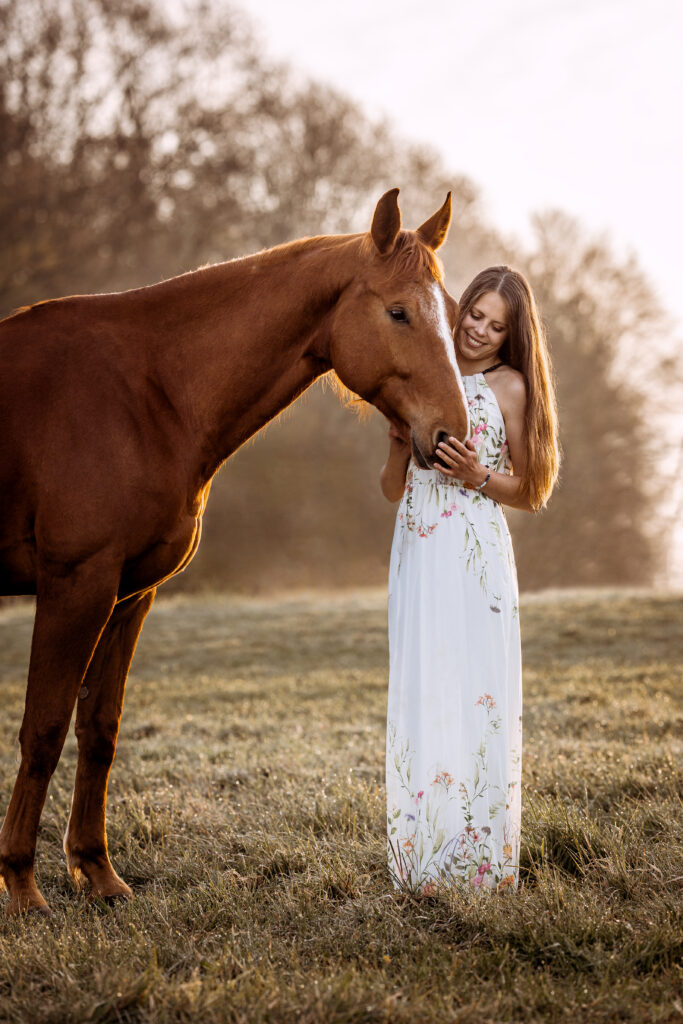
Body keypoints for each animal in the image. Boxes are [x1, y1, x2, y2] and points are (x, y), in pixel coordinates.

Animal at [0, 188, 471, 917]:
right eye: (398, 312)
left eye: (450, 314)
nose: (452, 437)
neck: (144, 394)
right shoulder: (75, 586)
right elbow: (43, 729)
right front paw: (23, 887)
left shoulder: (129, 594)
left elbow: (98, 729)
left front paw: (97, 873)